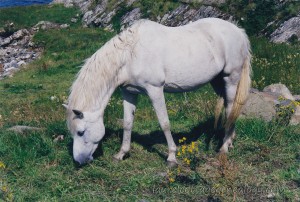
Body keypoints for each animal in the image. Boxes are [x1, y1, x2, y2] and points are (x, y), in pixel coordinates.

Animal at [63, 17, 251, 166]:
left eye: (80, 132)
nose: (79, 161)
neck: (130, 55)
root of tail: (238, 31)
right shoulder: (129, 93)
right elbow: (127, 123)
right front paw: (121, 154)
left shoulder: (155, 90)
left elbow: (164, 123)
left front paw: (172, 157)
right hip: (217, 81)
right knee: (228, 108)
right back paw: (230, 140)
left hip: (231, 78)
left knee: (231, 108)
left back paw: (224, 147)